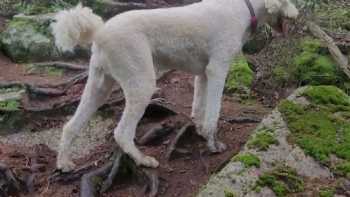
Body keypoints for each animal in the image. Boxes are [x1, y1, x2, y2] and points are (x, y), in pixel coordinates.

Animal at [52, 0, 298, 172]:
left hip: (99, 86)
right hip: (141, 83)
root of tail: (100, 32)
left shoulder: (203, 75)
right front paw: (212, 144)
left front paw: (200, 131)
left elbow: (199, 108)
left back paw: (64, 163)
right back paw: (143, 160)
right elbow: (213, 114)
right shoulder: (217, 70)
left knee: (70, 126)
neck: (243, 8)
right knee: (122, 133)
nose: (298, 15)